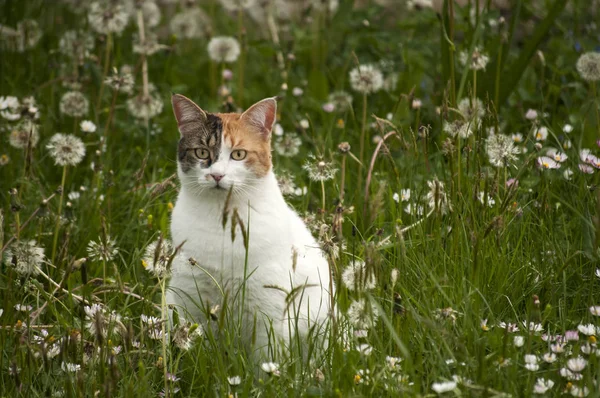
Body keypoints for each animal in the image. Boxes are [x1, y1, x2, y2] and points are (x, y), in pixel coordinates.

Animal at [166, 93, 332, 358]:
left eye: (238, 155)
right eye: (202, 152)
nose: (217, 175)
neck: (223, 221)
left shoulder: (267, 302)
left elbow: (266, 356)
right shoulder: (189, 291)